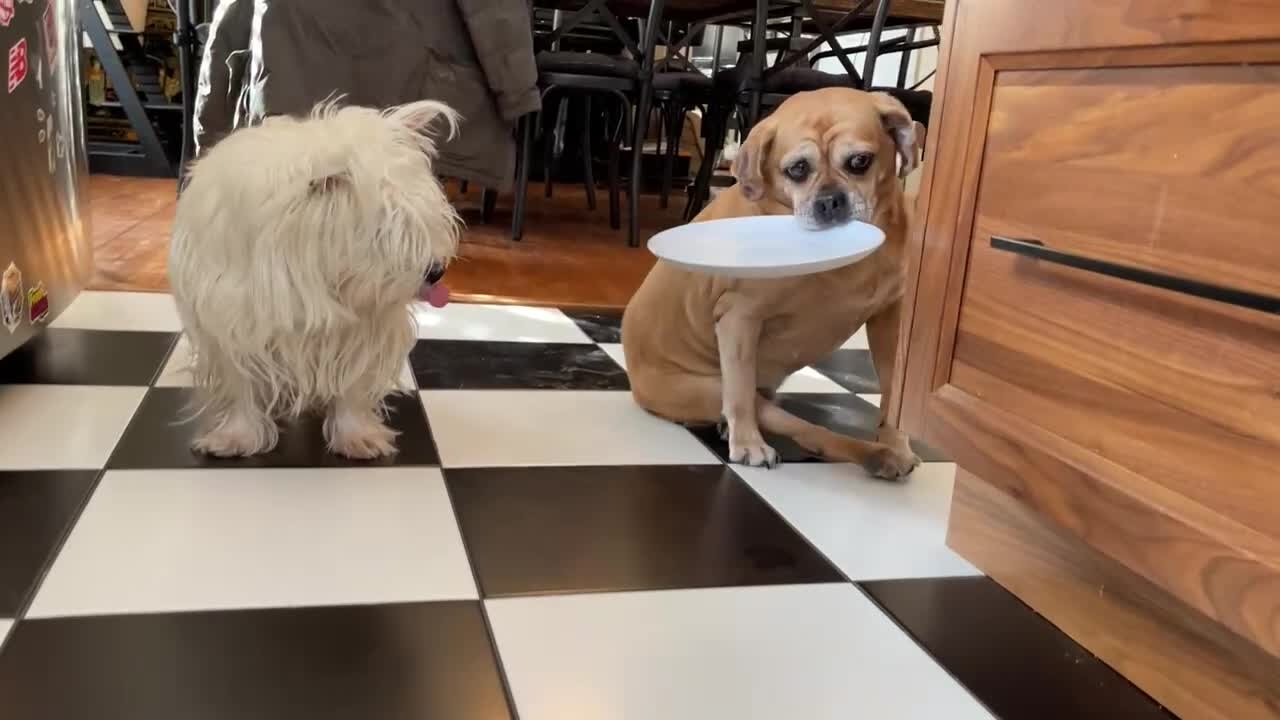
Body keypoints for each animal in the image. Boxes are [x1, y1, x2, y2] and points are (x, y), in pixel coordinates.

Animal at [168, 99, 460, 456]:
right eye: (383, 231)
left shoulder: (364, 323)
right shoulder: (232, 319)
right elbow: (240, 382)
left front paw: (356, 434)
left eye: (421, 223)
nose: (437, 272)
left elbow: (352, 379)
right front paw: (236, 435)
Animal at [619, 87, 921, 476]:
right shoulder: (739, 318)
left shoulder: (891, 318)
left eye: (860, 161)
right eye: (797, 169)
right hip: (707, 389)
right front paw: (748, 443)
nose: (829, 202)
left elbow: (893, 391)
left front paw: (896, 440)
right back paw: (867, 453)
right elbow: (739, 394)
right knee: (803, 429)